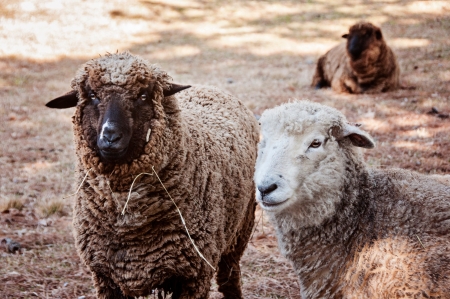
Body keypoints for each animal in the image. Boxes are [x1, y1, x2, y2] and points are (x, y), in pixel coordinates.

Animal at [44, 52, 260, 299]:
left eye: (143, 96)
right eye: (92, 96)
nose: (110, 137)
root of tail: (211, 87)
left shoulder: (195, 276)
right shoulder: (105, 277)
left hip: (240, 230)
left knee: (229, 277)